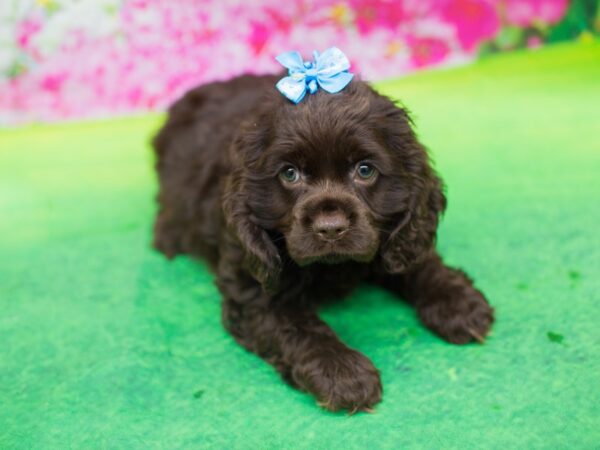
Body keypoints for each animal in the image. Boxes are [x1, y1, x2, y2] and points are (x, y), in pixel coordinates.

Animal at [152, 73, 494, 412]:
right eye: (289, 174)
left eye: (365, 170)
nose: (331, 229)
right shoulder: (252, 288)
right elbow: (294, 326)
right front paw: (343, 374)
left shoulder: (400, 236)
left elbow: (416, 261)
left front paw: (458, 302)